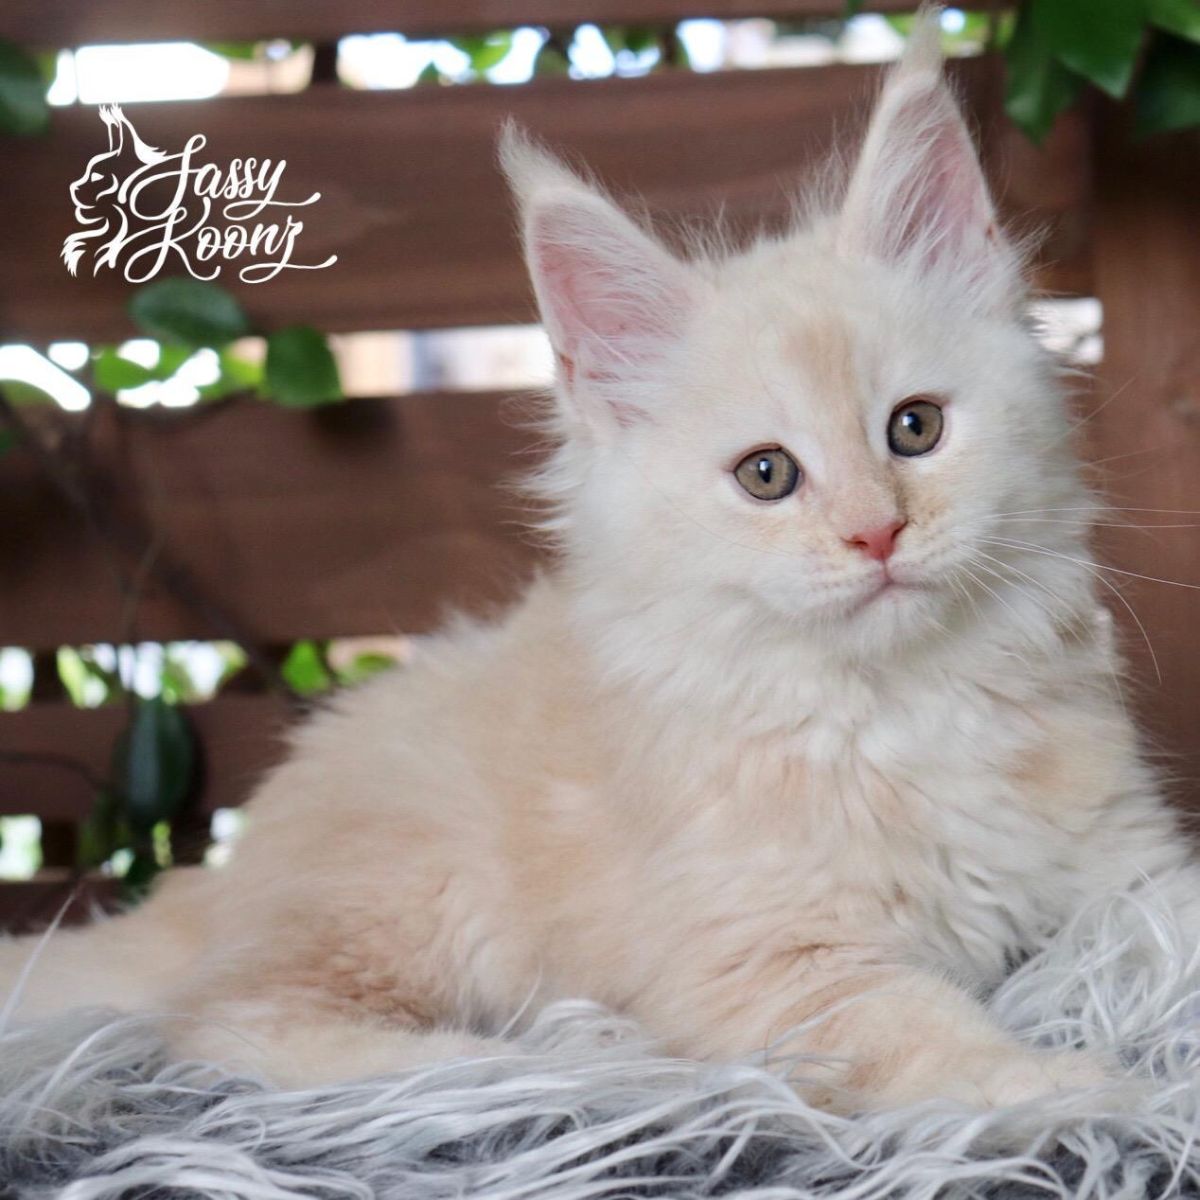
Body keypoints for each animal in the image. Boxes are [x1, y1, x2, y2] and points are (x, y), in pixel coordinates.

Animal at [4, 18, 1195, 1108]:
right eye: (768, 476)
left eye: (915, 429)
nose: (876, 533)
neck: (901, 710)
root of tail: (234, 867)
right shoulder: (773, 966)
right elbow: (926, 1032)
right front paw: (1068, 1092)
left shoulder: (1126, 866)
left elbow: (1159, 939)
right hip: (413, 901)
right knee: (224, 1029)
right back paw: (550, 1058)